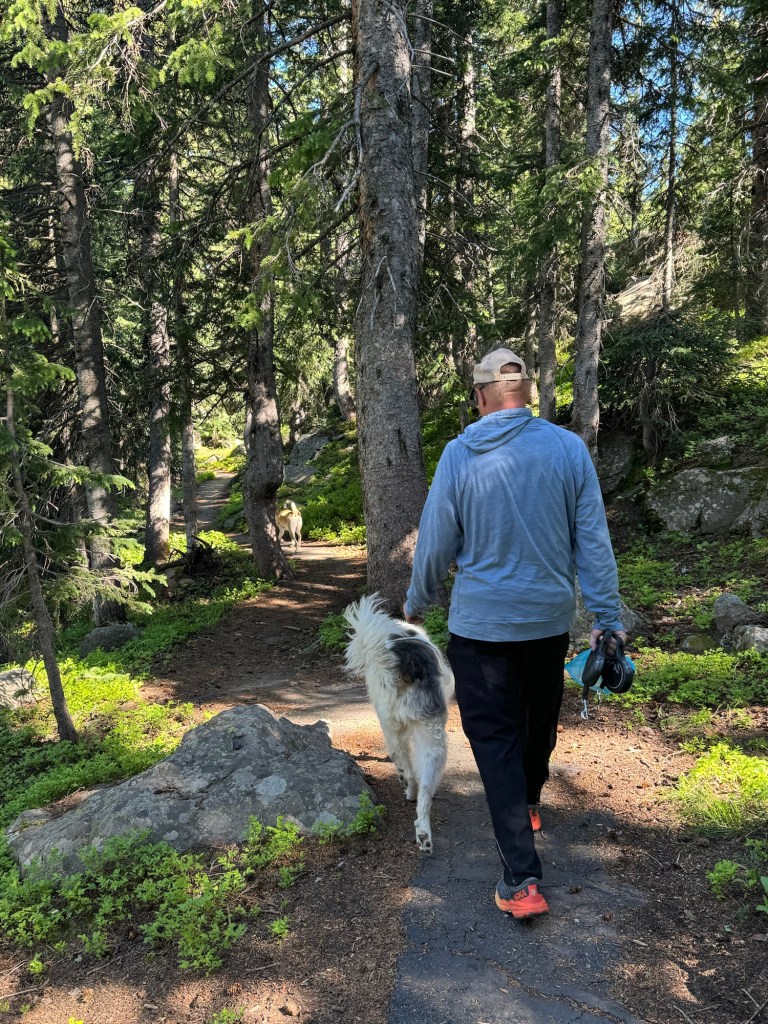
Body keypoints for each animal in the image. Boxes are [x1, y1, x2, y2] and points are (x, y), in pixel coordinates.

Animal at [343, 594, 454, 853]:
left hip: (392, 727)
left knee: (406, 766)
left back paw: (409, 789)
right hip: (431, 735)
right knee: (424, 787)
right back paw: (423, 833)